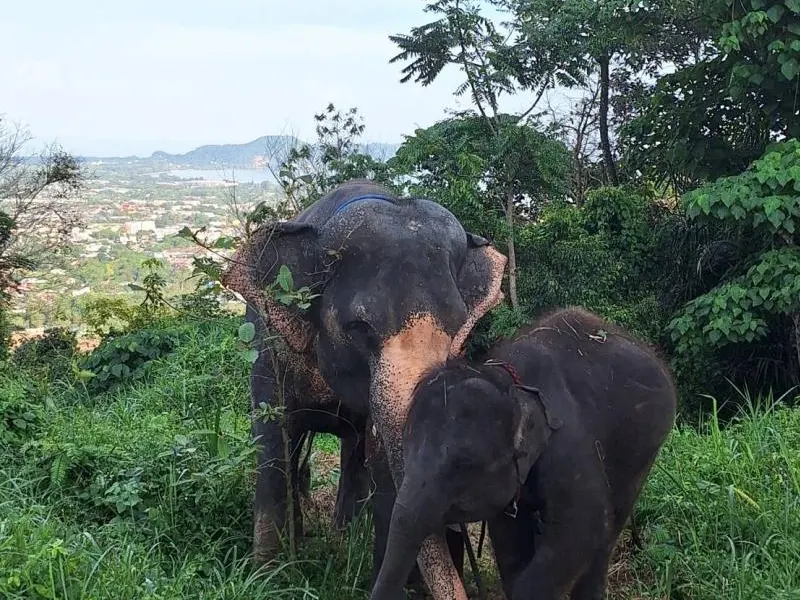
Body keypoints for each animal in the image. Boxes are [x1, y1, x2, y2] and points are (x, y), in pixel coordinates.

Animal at [221, 179, 507, 598]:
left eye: (457, 327)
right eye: (360, 326)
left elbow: (381, 461)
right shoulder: (268, 342)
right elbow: (272, 440)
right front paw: (266, 580)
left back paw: (344, 535)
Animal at [370, 306, 677, 600]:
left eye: (464, 464)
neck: (508, 382)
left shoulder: (568, 444)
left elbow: (582, 527)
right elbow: (509, 538)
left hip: (645, 451)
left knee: (610, 525)